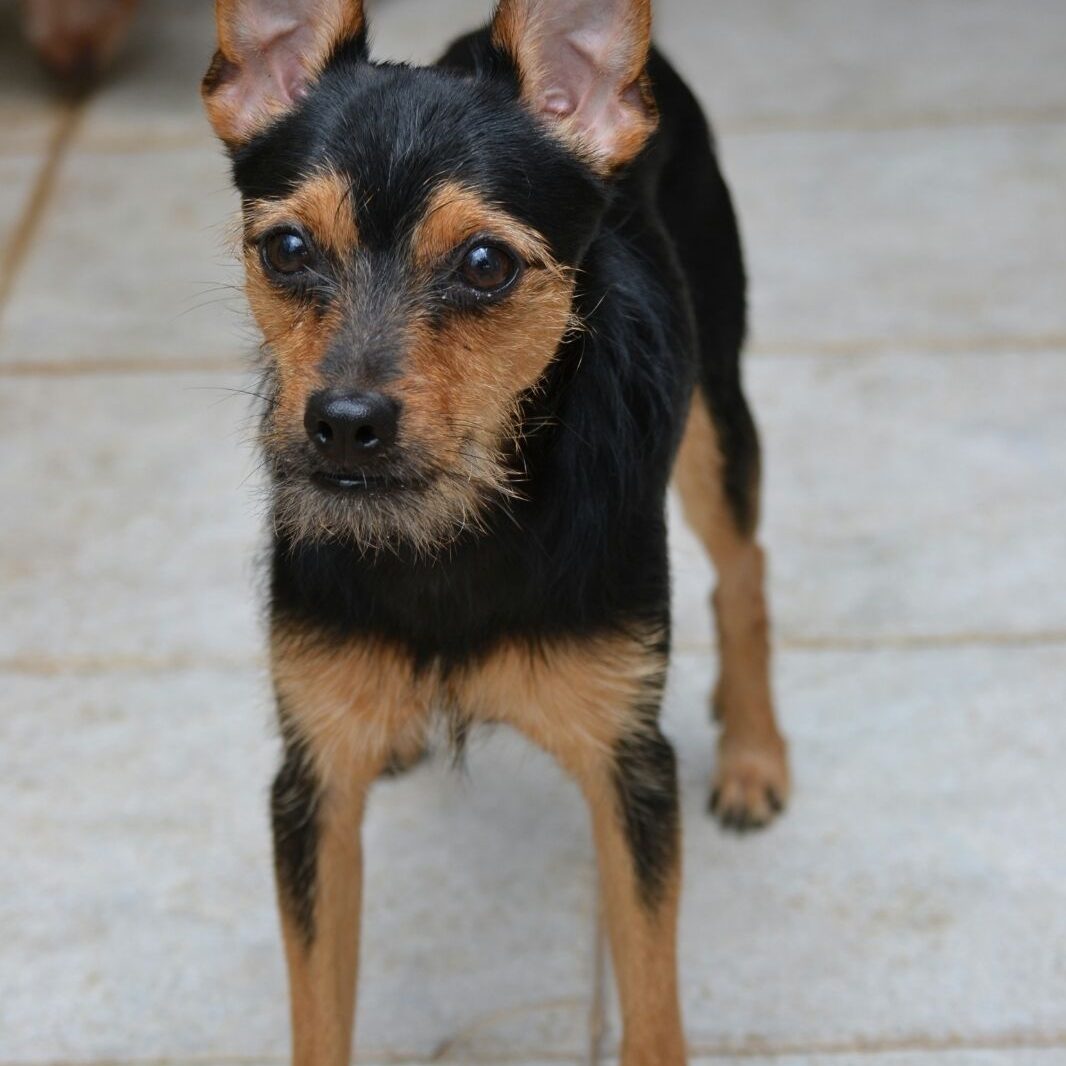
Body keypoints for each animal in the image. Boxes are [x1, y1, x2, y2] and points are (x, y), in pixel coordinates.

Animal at [201, 1, 789, 1062]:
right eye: (288, 249)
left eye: (486, 265)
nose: (342, 422)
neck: (452, 531)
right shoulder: (312, 790)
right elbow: (319, 1011)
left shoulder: (628, 768)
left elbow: (651, 1003)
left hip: (715, 413)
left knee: (744, 564)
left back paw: (755, 752)